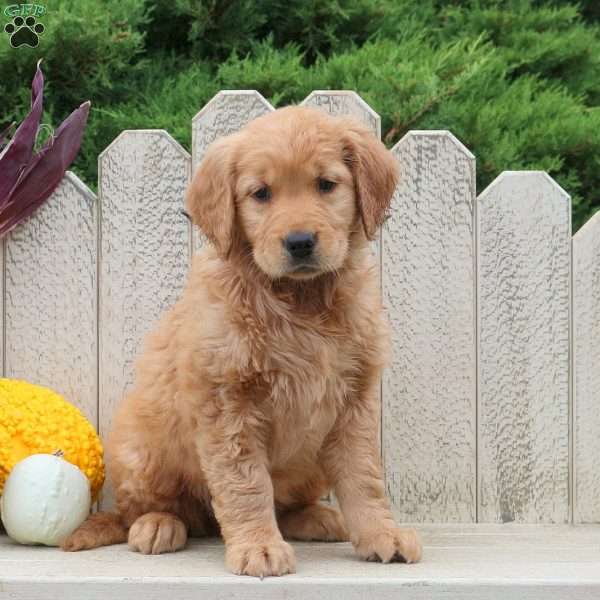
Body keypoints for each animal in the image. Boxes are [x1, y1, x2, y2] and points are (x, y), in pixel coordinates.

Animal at [63, 105, 422, 576]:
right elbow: (246, 484)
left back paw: (316, 517)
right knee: (142, 511)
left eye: (326, 185)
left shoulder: (353, 403)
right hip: (142, 449)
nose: (300, 242)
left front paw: (383, 534)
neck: (301, 302)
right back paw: (158, 525)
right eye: (261, 194)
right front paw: (259, 547)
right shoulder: (227, 402)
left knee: (285, 503)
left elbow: (363, 478)